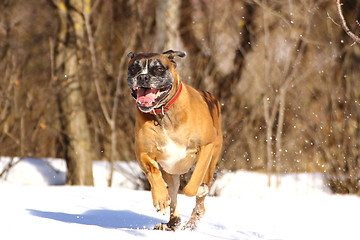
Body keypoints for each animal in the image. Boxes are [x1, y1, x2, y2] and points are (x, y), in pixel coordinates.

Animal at [126, 49, 222, 231]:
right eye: (134, 68)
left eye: (159, 69)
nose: (143, 77)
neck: (164, 112)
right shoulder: (143, 153)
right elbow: (153, 171)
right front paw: (160, 199)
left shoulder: (207, 145)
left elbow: (191, 186)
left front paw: (200, 189)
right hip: (171, 172)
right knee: (174, 195)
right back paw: (172, 222)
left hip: (211, 161)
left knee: (200, 201)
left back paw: (192, 221)